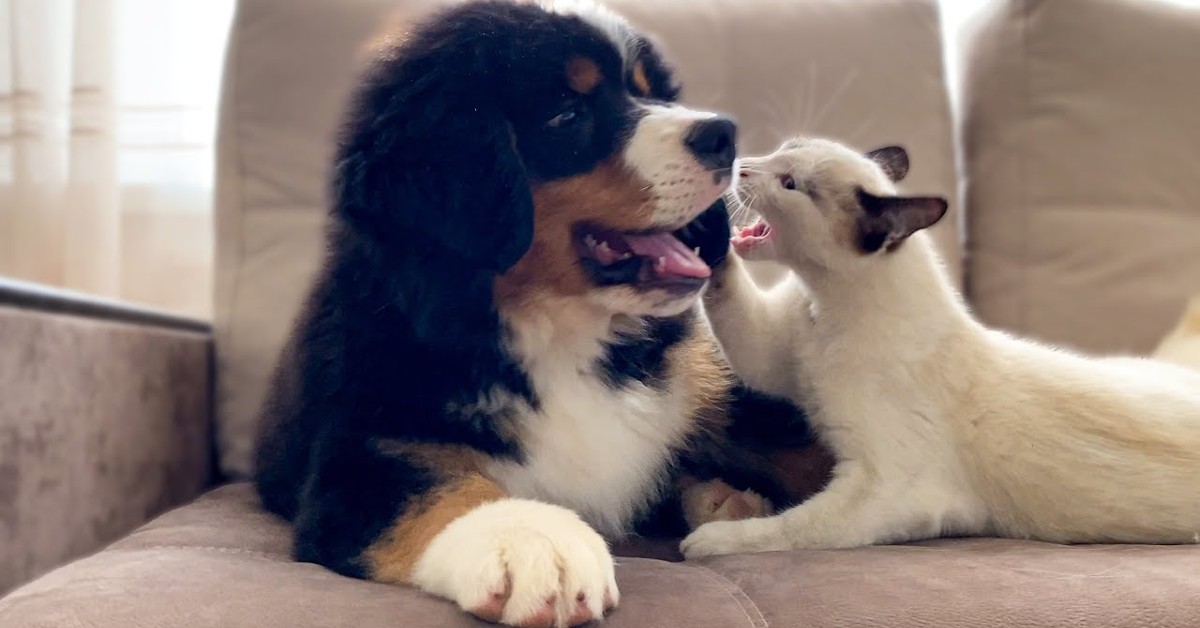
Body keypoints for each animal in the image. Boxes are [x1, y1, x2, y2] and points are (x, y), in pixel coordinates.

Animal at [253, 2, 816, 624]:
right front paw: (533, 541)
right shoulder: (363, 452)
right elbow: (441, 492)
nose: (723, 134)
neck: (560, 332)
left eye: (653, 94)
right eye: (566, 114)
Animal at [681, 135, 1200, 557]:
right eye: (781, 151)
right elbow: (727, 294)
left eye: (789, 183)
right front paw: (705, 229)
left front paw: (713, 539)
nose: (741, 166)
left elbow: (788, 529)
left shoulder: (882, 488)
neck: (821, 309)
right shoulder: (769, 357)